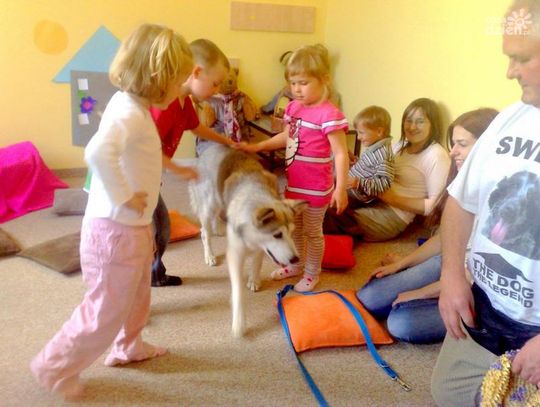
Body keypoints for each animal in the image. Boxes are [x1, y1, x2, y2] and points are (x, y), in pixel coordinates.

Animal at [189, 144, 307, 337]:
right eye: (277, 235)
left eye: (291, 233)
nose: (295, 259)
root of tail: (210, 147)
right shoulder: (235, 254)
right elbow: (238, 291)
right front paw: (239, 321)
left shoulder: (261, 247)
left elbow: (256, 264)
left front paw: (253, 280)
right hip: (209, 204)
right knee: (204, 232)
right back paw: (210, 255)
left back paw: (218, 228)